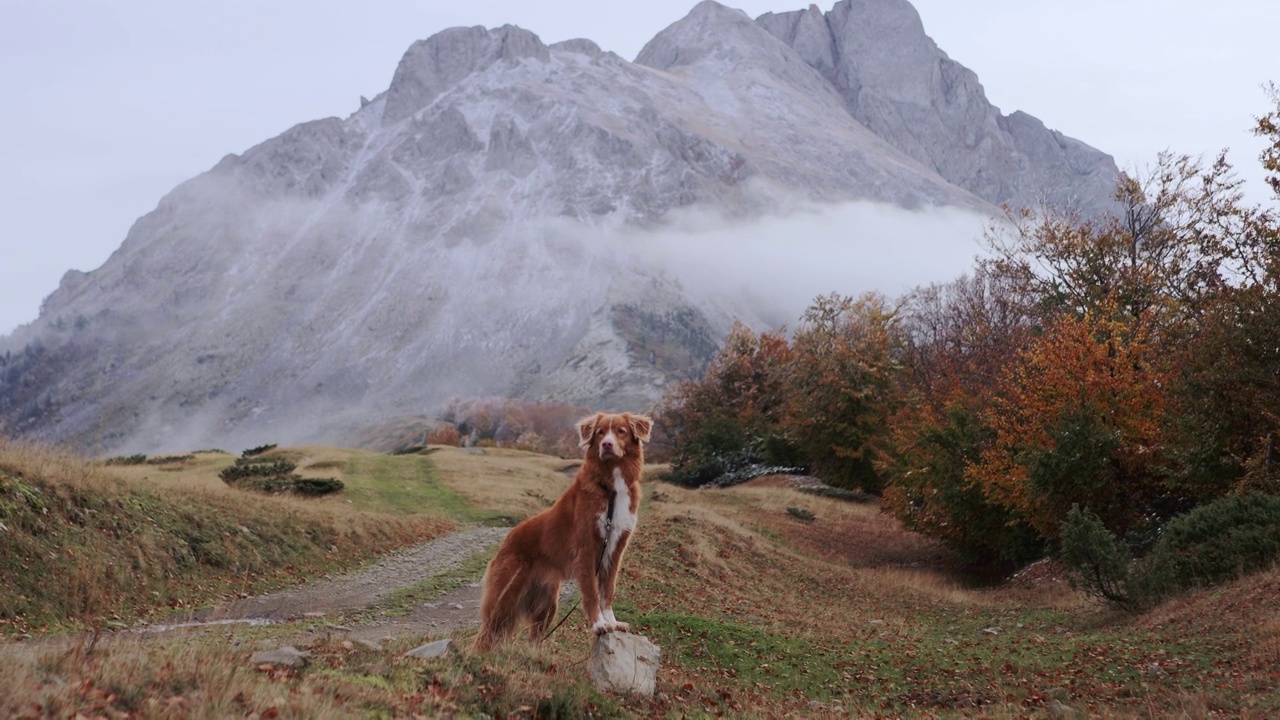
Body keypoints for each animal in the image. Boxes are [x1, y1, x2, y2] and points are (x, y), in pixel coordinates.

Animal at [471, 409, 655, 650]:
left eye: (621, 431)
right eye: (600, 432)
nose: (606, 444)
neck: (611, 489)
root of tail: (507, 540)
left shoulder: (614, 549)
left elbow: (607, 592)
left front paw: (612, 622)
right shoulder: (587, 549)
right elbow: (592, 593)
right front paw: (599, 625)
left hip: (547, 605)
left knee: (534, 638)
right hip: (504, 599)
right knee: (484, 635)